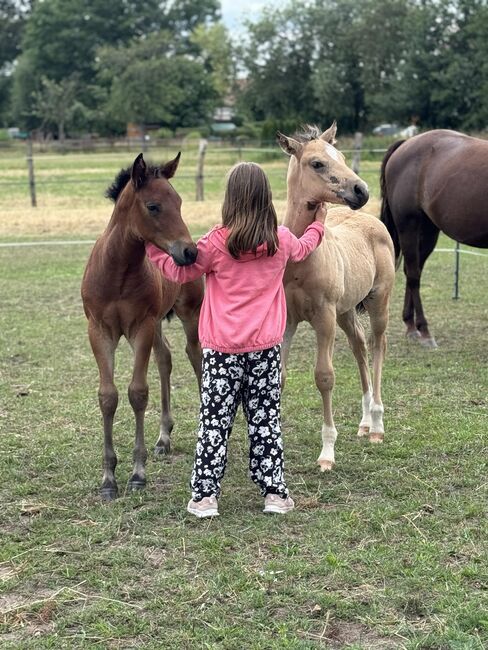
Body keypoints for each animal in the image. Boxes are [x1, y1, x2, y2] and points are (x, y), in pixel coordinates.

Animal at [81, 152, 203, 496]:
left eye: (179, 202)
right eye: (153, 206)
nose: (189, 252)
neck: (118, 272)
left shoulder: (141, 328)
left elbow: (137, 392)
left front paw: (137, 472)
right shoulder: (100, 331)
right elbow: (107, 396)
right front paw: (108, 478)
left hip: (189, 315)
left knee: (195, 357)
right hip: (158, 323)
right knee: (165, 359)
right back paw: (164, 438)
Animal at [276, 123, 394, 466]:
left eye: (341, 156)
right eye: (317, 163)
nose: (361, 191)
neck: (300, 260)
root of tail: (369, 218)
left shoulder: (324, 317)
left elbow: (324, 376)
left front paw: (327, 452)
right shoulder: (288, 320)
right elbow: (280, 377)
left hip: (378, 304)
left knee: (377, 346)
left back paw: (377, 425)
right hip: (346, 311)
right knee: (359, 347)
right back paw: (365, 422)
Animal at [382, 128, 488, 346]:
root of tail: (405, 144)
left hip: (428, 232)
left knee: (412, 271)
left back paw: (410, 325)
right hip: (408, 226)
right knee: (413, 274)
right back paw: (423, 331)